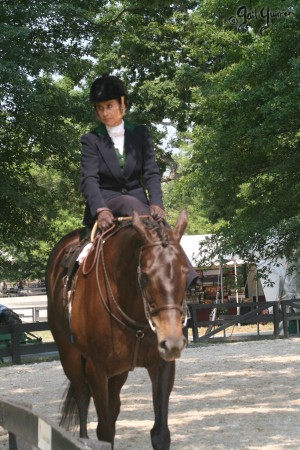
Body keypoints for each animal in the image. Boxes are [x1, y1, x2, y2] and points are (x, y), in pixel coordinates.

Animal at [46, 211, 189, 450]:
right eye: (145, 276)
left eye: (185, 273)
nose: (172, 343)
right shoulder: (96, 370)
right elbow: (104, 431)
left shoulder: (162, 366)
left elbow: (160, 433)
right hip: (71, 358)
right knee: (83, 398)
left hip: (118, 372)